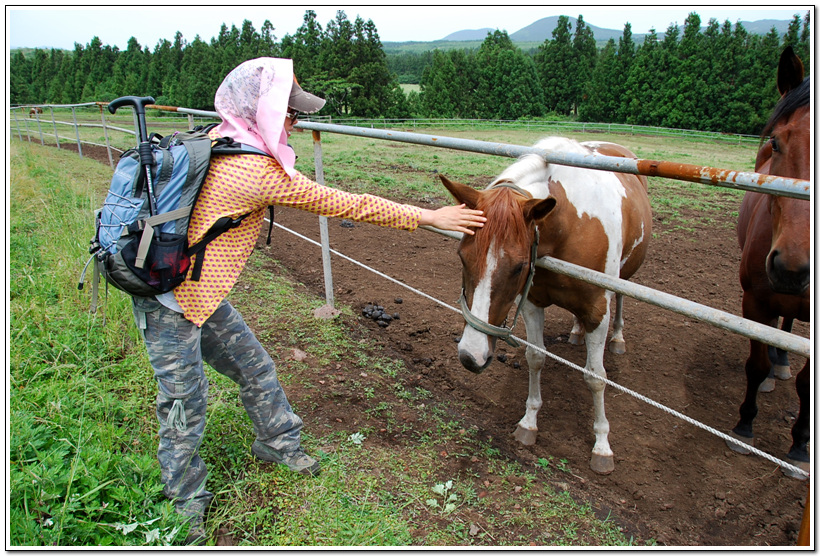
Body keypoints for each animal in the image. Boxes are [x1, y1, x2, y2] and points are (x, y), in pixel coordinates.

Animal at [442, 138, 652, 474]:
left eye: (518, 266)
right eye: (462, 256)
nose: (470, 357)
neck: (569, 226)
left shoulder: (597, 311)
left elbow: (596, 377)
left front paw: (602, 445)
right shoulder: (532, 303)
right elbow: (536, 358)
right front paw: (529, 422)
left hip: (623, 277)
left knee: (621, 299)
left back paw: (618, 338)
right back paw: (576, 333)